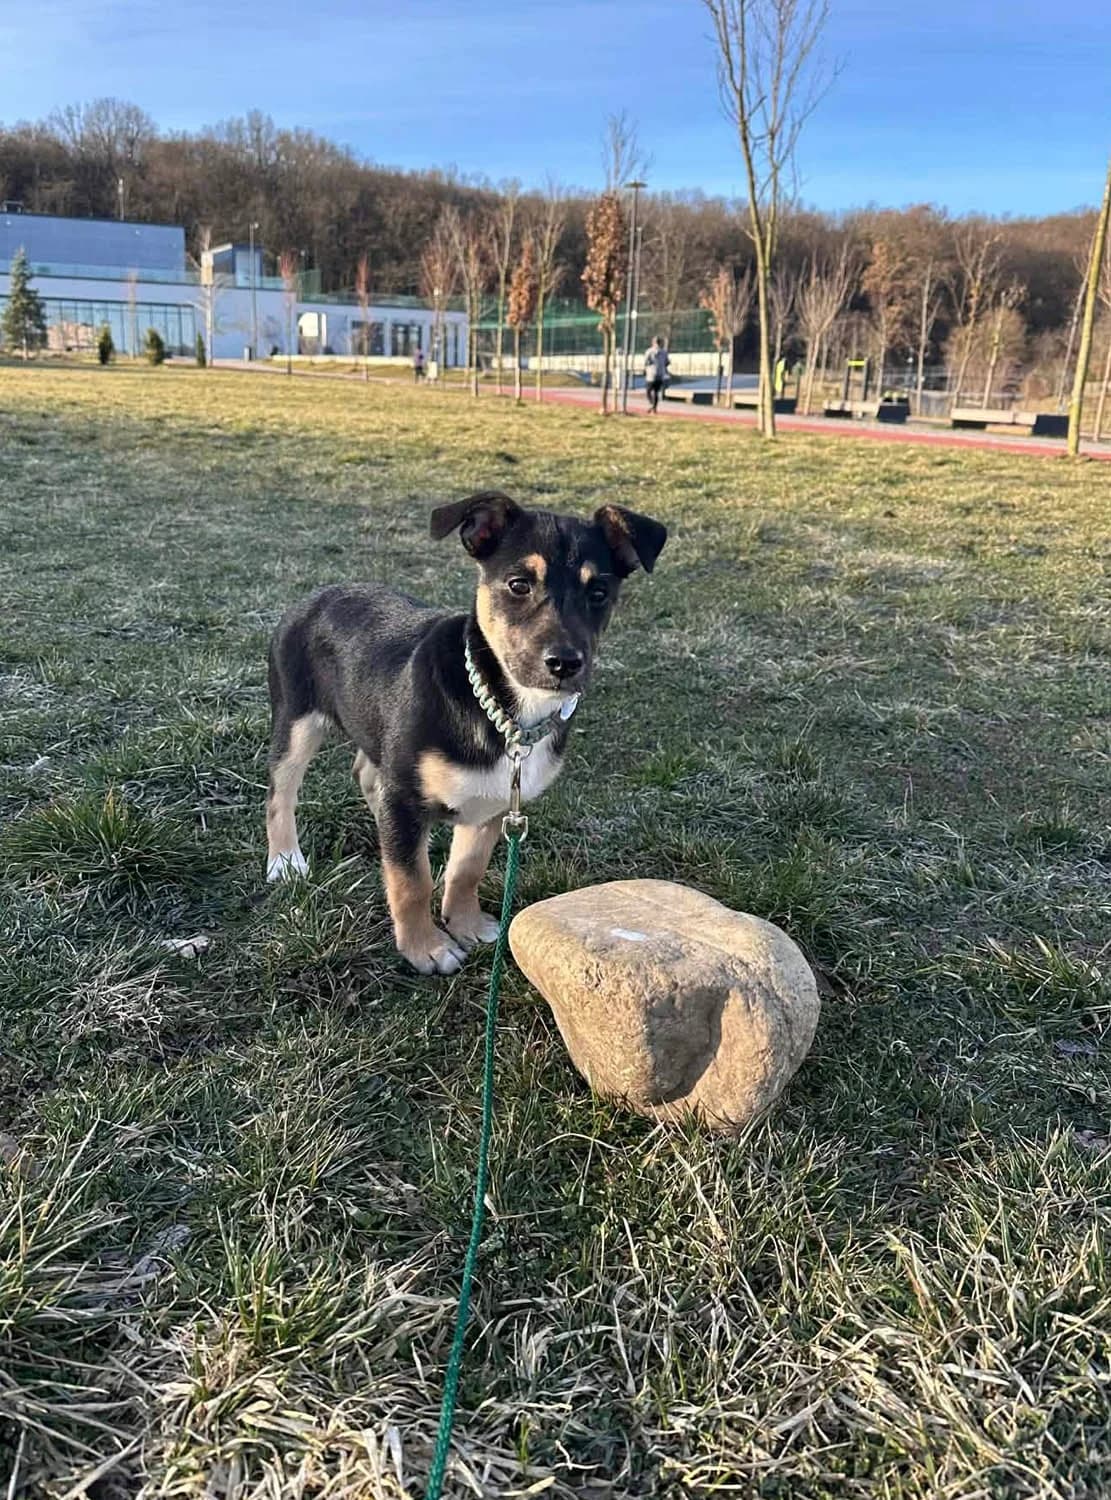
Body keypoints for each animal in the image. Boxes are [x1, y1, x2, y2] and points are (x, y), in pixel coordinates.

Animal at [265, 490, 667, 974]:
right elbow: (411, 879)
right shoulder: (405, 795)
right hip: (295, 717)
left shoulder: (495, 801)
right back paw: (285, 861)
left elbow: (467, 868)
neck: (507, 714)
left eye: (599, 593)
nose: (564, 664)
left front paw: (466, 924)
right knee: (280, 792)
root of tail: (317, 595)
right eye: (518, 585)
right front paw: (425, 947)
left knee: (367, 770)